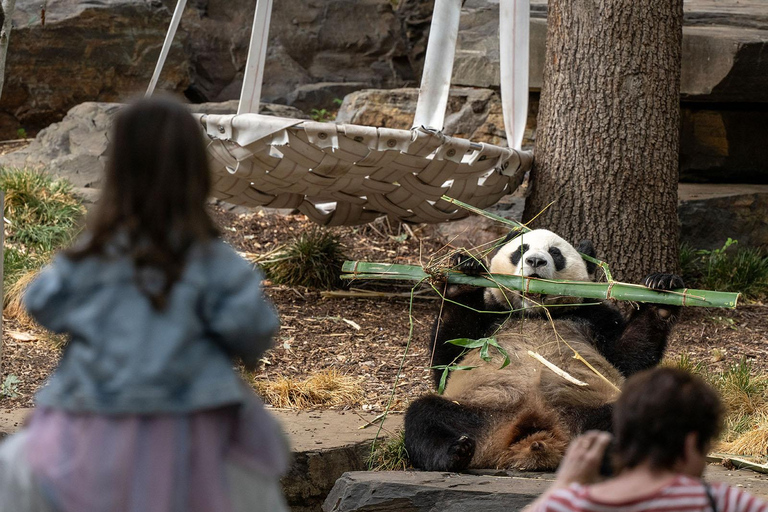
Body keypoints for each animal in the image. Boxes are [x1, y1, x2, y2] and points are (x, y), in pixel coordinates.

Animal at [404, 229, 683, 472]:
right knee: (426, 415)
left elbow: (627, 359)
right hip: (478, 412)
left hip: (587, 409)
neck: (536, 312)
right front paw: (463, 275)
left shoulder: (594, 316)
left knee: (631, 418)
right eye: (521, 249)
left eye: (555, 253)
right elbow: (448, 359)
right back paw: (455, 452)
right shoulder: (492, 317)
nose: (535, 260)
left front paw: (663, 293)